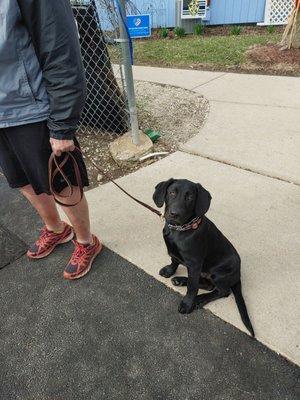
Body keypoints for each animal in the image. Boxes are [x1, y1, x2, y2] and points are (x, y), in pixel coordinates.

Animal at [154, 179, 254, 338]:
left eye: (190, 197)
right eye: (172, 192)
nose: (174, 214)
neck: (180, 229)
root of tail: (238, 275)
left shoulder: (195, 263)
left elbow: (192, 287)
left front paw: (188, 304)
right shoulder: (173, 251)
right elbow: (174, 260)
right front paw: (170, 270)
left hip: (219, 273)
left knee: (222, 291)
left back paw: (199, 299)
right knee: (207, 285)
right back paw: (180, 280)